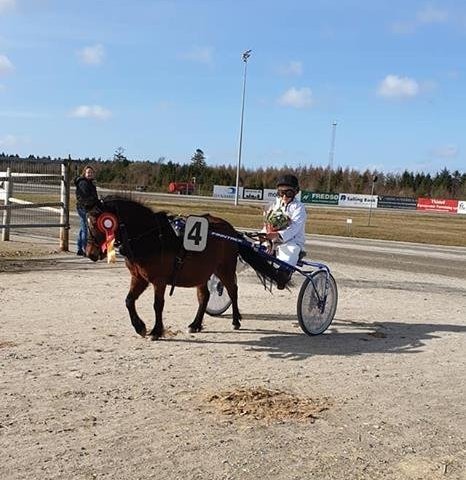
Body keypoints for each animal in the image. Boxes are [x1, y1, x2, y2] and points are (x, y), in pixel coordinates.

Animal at [85, 197, 278, 340]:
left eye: (95, 223)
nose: (90, 253)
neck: (152, 237)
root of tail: (231, 230)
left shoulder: (159, 280)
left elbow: (158, 304)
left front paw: (156, 331)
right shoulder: (139, 277)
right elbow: (129, 300)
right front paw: (140, 327)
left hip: (225, 269)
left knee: (232, 291)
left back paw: (236, 321)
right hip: (203, 272)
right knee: (204, 297)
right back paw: (195, 324)